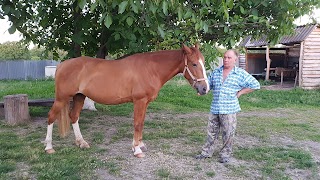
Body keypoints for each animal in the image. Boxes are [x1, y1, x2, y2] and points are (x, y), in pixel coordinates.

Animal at [42, 43, 210, 158]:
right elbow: (137, 124)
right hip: (61, 99)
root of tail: (62, 65)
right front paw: (137, 150)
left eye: (203, 61)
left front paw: (140, 145)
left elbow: (141, 123)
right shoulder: (139, 101)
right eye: (194, 63)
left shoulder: (145, 103)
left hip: (79, 97)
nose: (205, 89)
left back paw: (81, 143)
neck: (150, 69)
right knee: (51, 117)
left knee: (74, 116)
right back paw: (49, 147)